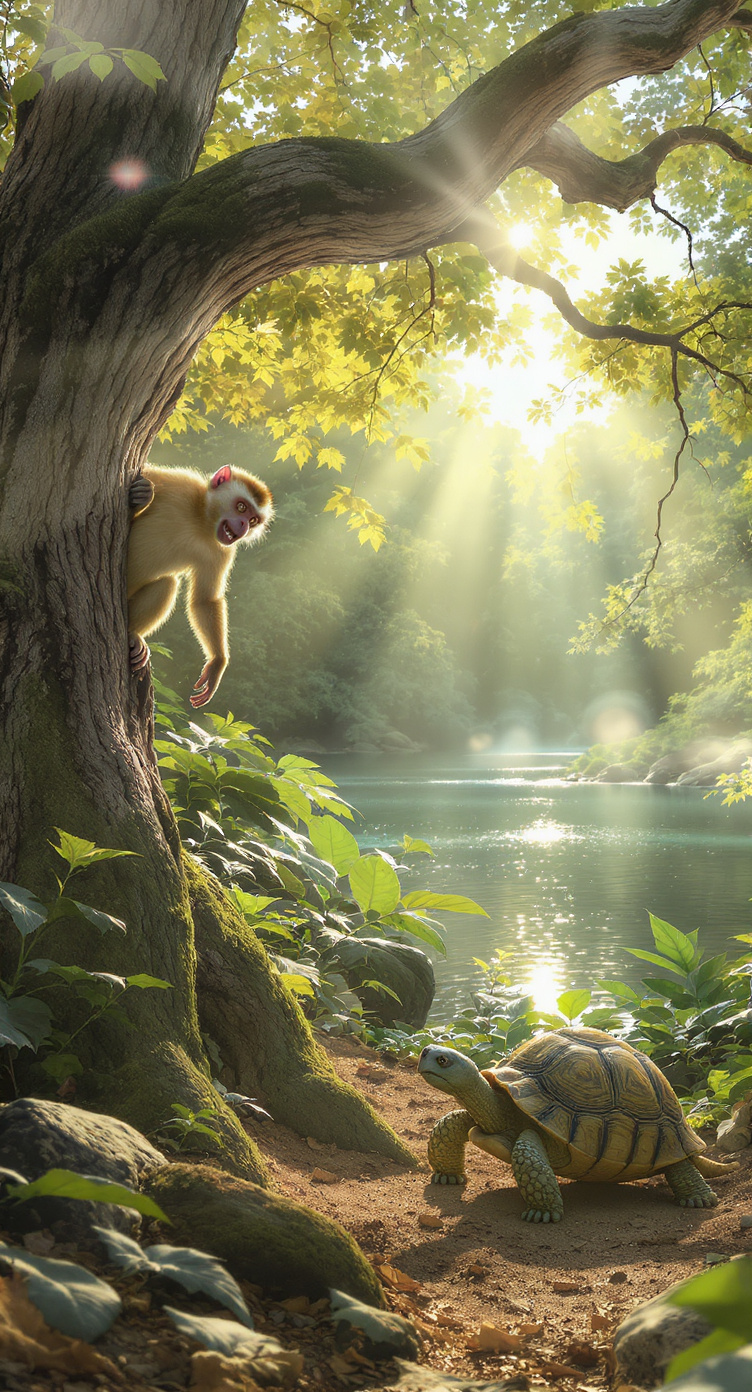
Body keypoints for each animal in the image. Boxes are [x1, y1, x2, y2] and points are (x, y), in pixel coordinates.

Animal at [127, 462, 273, 708]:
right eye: (241, 507)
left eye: (253, 520)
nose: (244, 526)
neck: (202, 520)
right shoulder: (180, 483)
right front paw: (144, 496)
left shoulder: (222, 551)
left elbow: (204, 601)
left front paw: (217, 662)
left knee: (168, 584)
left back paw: (133, 635)